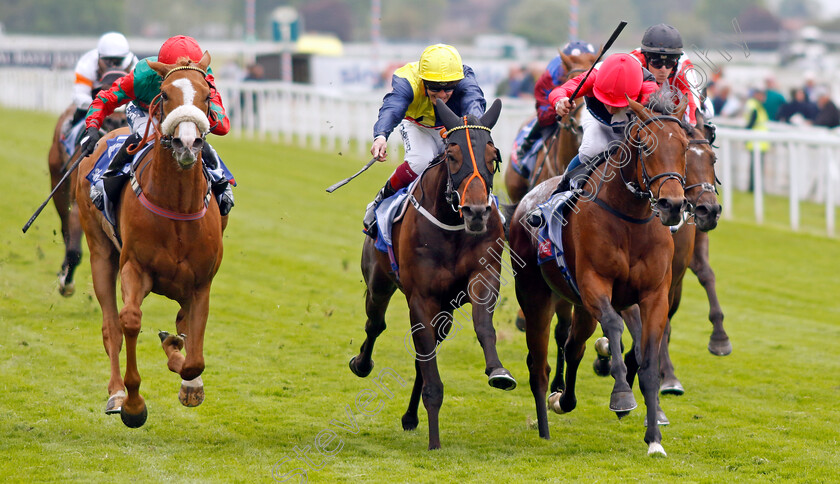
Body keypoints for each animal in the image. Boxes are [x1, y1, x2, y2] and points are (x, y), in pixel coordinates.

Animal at [48, 70, 128, 296]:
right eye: (102, 88)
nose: (116, 121)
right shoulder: (78, 203)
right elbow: (74, 250)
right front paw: (66, 282)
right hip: (58, 184)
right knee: (65, 229)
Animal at [76, 52, 225, 428]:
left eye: (207, 96)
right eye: (166, 95)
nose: (187, 143)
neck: (176, 205)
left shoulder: (200, 283)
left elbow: (194, 356)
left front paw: (188, 380)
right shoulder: (135, 267)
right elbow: (129, 320)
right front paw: (133, 405)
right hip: (100, 252)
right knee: (111, 326)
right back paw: (116, 392)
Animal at [350, 97, 520, 450]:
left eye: (494, 156)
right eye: (452, 155)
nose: (476, 212)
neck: (452, 224)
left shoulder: (483, 279)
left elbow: (483, 326)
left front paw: (498, 372)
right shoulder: (421, 298)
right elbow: (428, 367)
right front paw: (434, 442)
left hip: (446, 310)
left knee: (421, 356)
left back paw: (410, 417)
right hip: (379, 284)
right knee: (375, 325)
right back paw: (361, 364)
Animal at [512, 95, 688, 458]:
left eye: (685, 146)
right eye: (646, 146)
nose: (672, 204)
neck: (630, 219)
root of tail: (527, 200)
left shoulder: (654, 296)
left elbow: (647, 359)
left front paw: (654, 439)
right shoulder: (595, 285)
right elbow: (615, 327)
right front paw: (621, 396)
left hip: (580, 306)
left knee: (573, 346)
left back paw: (563, 399)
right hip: (537, 297)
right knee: (539, 364)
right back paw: (545, 426)